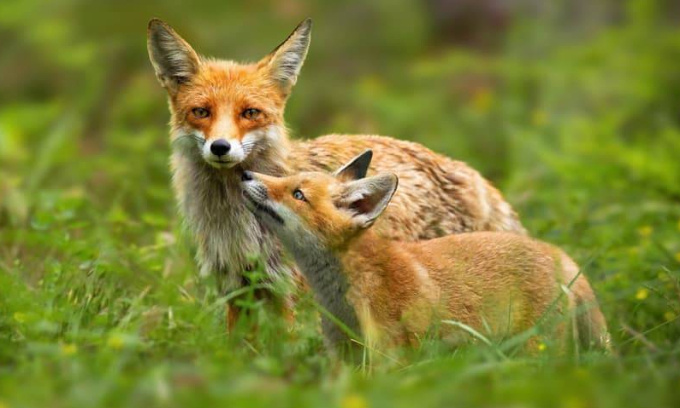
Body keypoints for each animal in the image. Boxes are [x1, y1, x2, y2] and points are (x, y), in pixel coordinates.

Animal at [146, 18, 526, 320]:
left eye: (250, 113)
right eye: (201, 112)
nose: (221, 147)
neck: (238, 223)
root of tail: (474, 176)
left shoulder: (293, 291)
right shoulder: (237, 288)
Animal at [240, 150, 610, 354]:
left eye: (297, 194)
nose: (244, 173)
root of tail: (561, 254)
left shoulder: (390, 353)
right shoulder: (344, 353)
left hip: (537, 348)